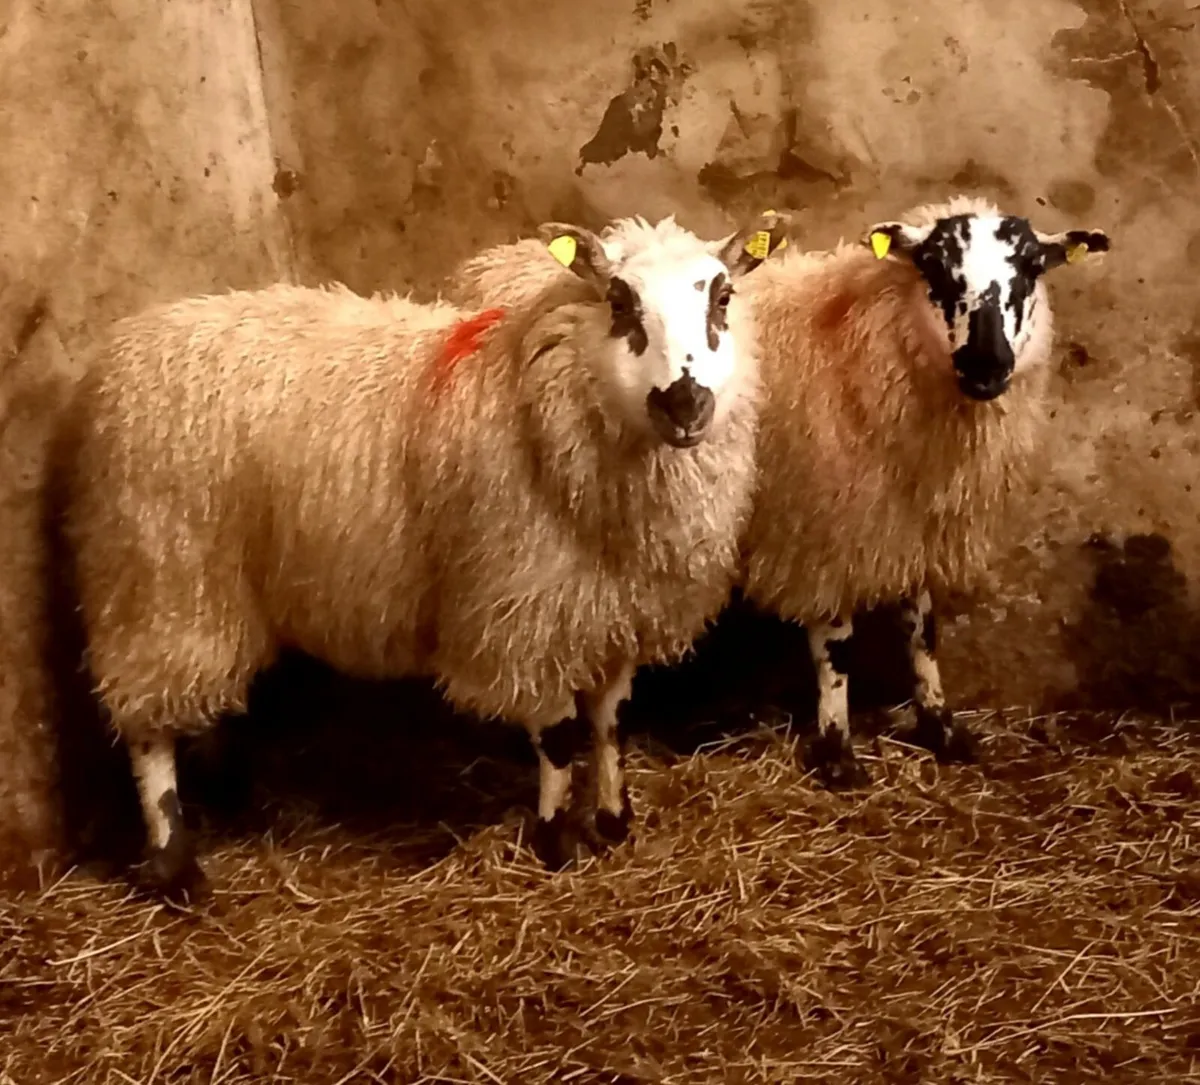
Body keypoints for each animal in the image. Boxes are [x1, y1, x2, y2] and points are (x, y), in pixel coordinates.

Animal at [52, 212, 787, 899]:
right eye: (619, 299)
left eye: (722, 296)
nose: (686, 403)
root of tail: (133, 340)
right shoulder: (526, 609)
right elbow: (556, 736)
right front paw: (555, 841)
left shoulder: (612, 607)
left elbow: (610, 722)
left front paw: (611, 821)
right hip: (158, 574)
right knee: (148, 730)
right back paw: (175, 862)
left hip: (209, 590)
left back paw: (229, 789)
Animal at [737, 195, 1110, 788]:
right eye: (935, 266)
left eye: (1031, 267)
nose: (984, 364)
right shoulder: (828, 529)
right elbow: (835, 648)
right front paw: (838, 752)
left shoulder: (912, 524)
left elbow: (923, 630)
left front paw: (942, 727)